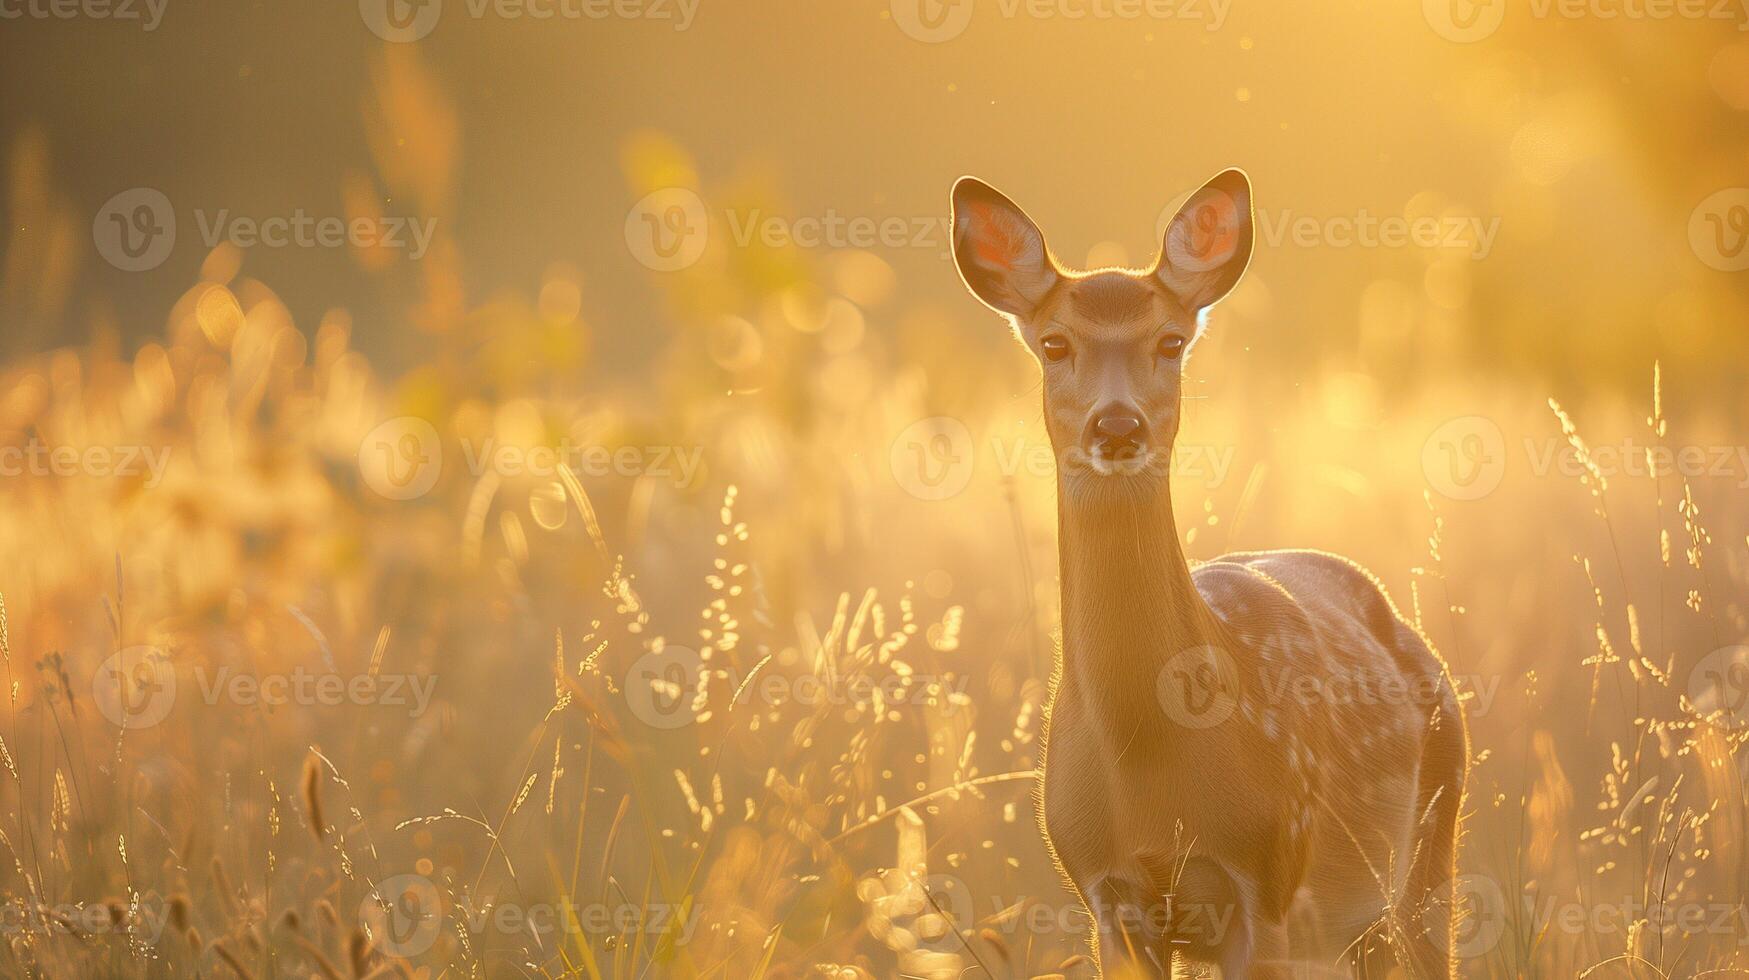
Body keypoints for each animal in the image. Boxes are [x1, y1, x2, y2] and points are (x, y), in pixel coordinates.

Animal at [951, 172, 1469, 973]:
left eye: (1170, 340)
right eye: (1054, 342)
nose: (1117, 425)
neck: (1147, 756)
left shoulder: (1267, 878)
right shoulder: (1107, 896)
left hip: (1425, 861)